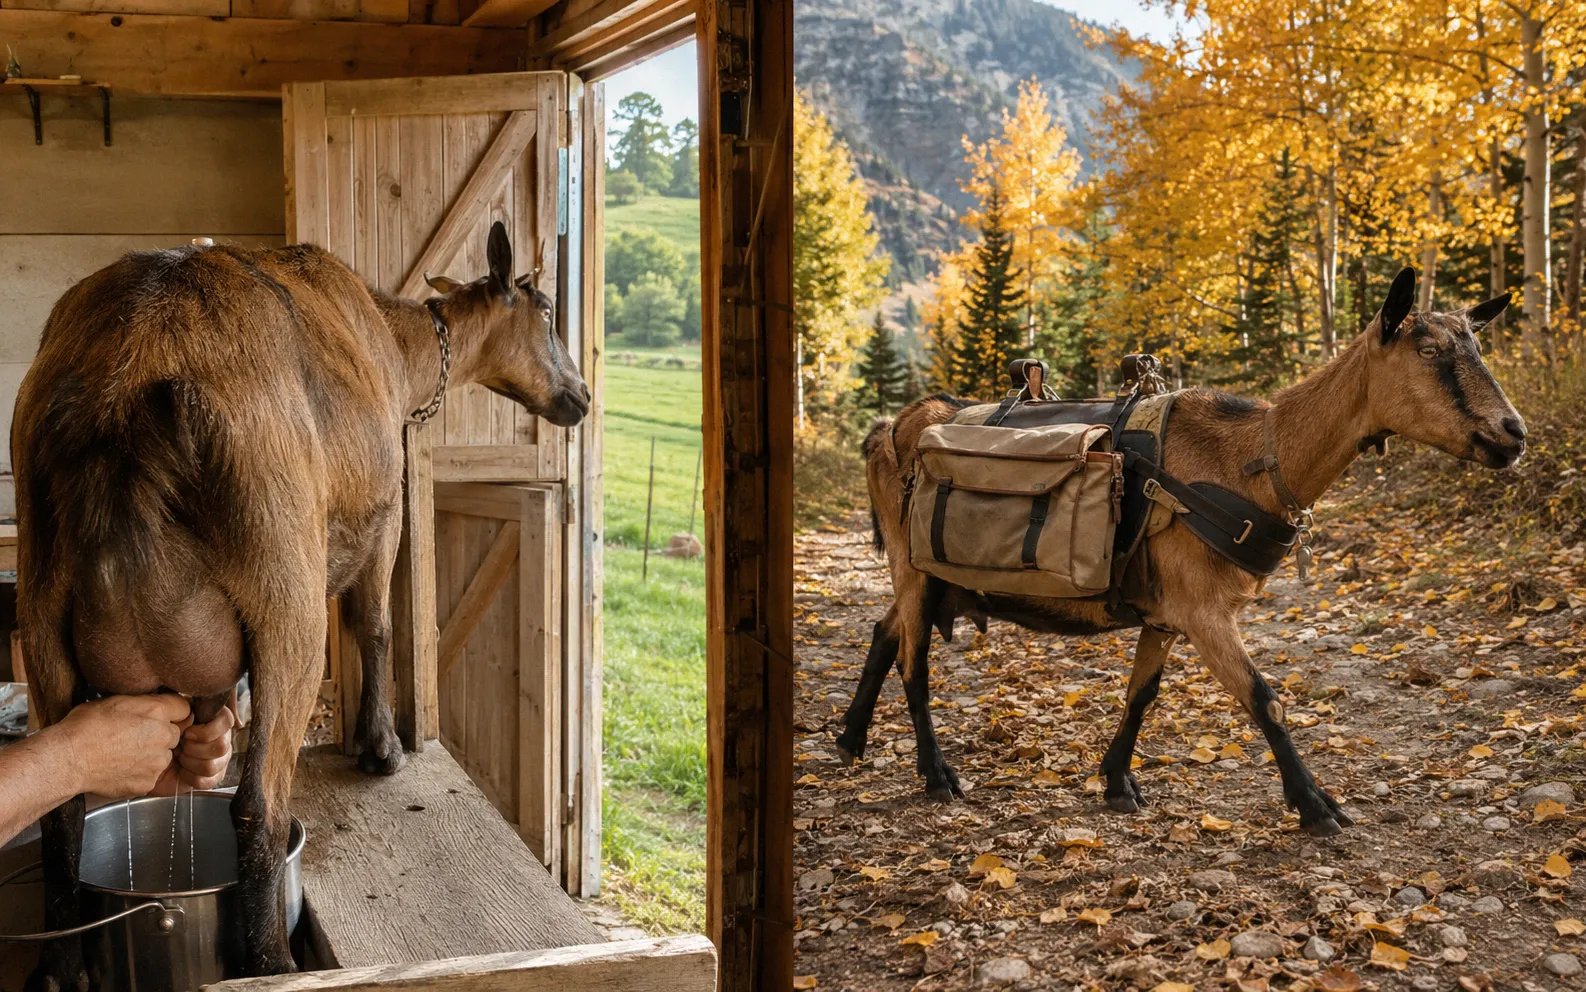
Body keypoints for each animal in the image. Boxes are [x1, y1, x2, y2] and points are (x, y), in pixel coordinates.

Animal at [13, 222, 588, 988]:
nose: (581, 397)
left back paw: (60, 968)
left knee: (62, 811)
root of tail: (123, 395)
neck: (397, 346)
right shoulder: (383, 512)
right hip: (285, 592)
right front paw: (381, 749)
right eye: (547, 310)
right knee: (257, 807)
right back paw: (272, 961)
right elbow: (375, 625)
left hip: (40, 609)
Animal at [837, 268, 1525, 836]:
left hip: (923, 575)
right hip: (912, 565)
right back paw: (936, 775)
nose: (1513, 433)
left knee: (884, 630)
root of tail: (888, 430)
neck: (1254, 460)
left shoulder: (1166, 612)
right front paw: (1316, 806)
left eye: (1477, 346)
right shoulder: (1202, 609)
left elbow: (1143, 694)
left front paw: (1117, 783)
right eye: (1428, 351)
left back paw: (850, 738)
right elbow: (1265, 698)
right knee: (914, 662)